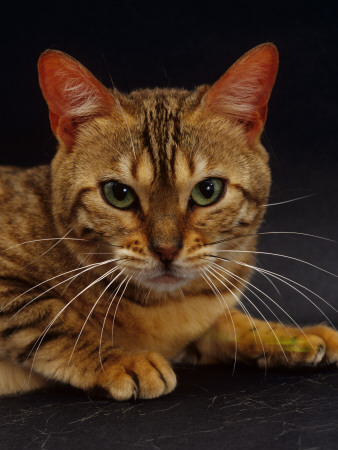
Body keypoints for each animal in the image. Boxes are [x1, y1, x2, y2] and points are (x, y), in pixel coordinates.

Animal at [0, 43, 338, 400]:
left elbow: (228, 322)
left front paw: (290, 335)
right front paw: (119, 359)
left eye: (207, 190)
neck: (166, 306)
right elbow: (52, 319)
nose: (166, 250)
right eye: (118, 193)